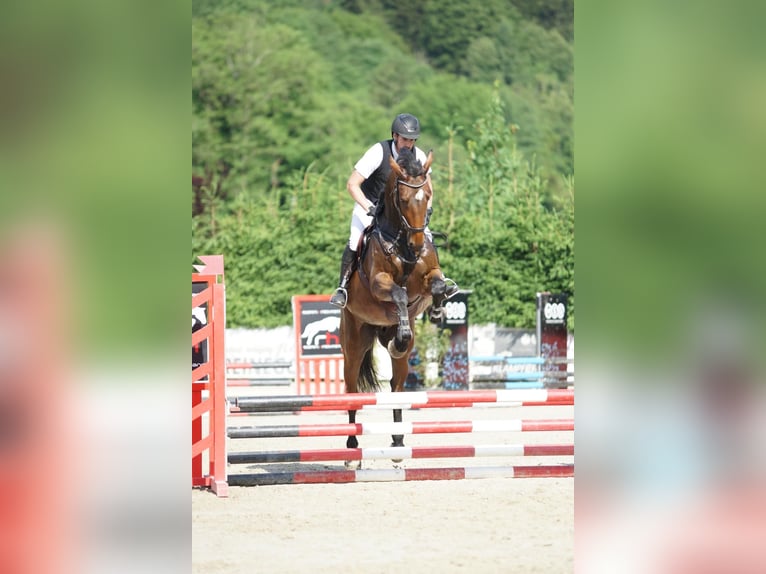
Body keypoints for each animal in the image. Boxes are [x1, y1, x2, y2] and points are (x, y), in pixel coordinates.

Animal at [340, 147, 448, 468]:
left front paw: (437, 310)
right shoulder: (379, 283)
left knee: (396, 388)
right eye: (403, 199)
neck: (402, 245)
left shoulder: (429, 275)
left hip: (398, 362)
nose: (416, 243)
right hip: (353, 344)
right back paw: (351, 452)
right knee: (352, 390)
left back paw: (399, 444)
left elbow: (437, 286)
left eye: (427, 195)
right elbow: (399, 294)